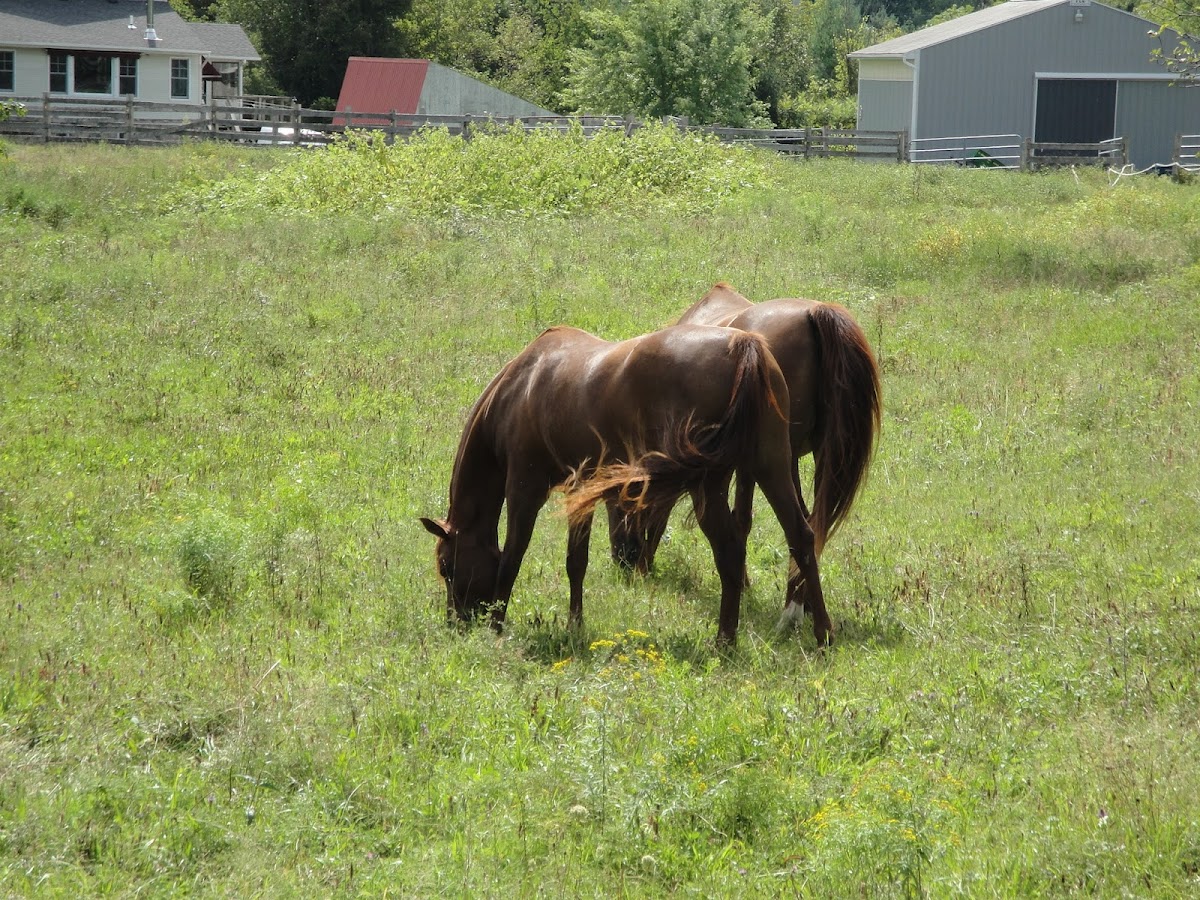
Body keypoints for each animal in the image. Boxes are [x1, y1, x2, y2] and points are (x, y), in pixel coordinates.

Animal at [420, 322, 832, 646]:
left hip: (711, 486)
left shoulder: (524, 490)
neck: (522, 386)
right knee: (801, 537)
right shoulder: (579, 491)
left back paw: (724, 642)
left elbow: (512, 558)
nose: (457, 622)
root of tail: (744, 346)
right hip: (771, 467)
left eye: (447, 566)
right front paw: (575, 626)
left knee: (730, 553)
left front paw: (497, 627)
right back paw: (822, 633)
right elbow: (576, 562)